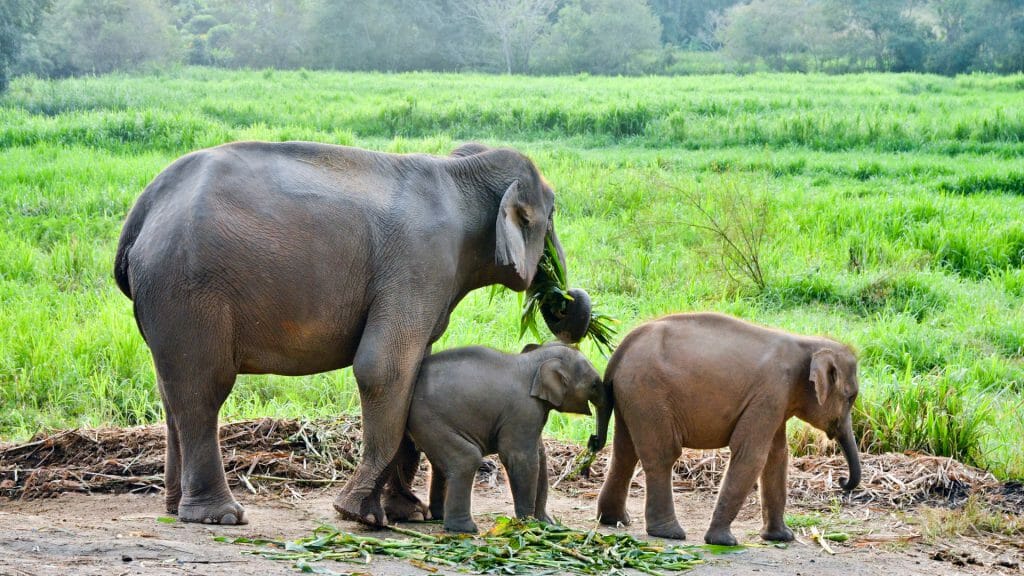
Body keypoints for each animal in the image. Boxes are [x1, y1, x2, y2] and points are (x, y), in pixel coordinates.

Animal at [113, 140, 592, 526]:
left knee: (172, 389)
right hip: (189, 289)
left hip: (168, 299)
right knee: (204, 387)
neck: (460, 171)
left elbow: (414, 372)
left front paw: (409, 513)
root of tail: (142, 211)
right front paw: (363, 516)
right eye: (552, 214)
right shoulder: (419, 262)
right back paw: (221, 516)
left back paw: (176, 508)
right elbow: (383, 368)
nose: (561, 297)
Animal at [397, 343, 608, 534]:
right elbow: (520, 458)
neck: (533, 360)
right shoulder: (524, 410)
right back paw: (465, 529)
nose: (593, 440)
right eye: (594, 384)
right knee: (466, 459)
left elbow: (540, 457)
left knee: (441, 465)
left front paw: (547, 523)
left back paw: (440, 517)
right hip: (429, 419)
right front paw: (527, 523)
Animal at [595, 312, 861, 546]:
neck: (807, 343)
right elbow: (752, 456)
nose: (842, 481)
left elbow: (777, 457)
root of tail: (619, 351)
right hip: (648, 393)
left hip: (631, 396)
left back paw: (614, 520)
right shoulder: (771, 393)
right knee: (663, 454)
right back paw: (669, 533)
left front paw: (782, 537)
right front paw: (723, 542)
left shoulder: (777, 400)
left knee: (625, 453)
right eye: (850, 398)